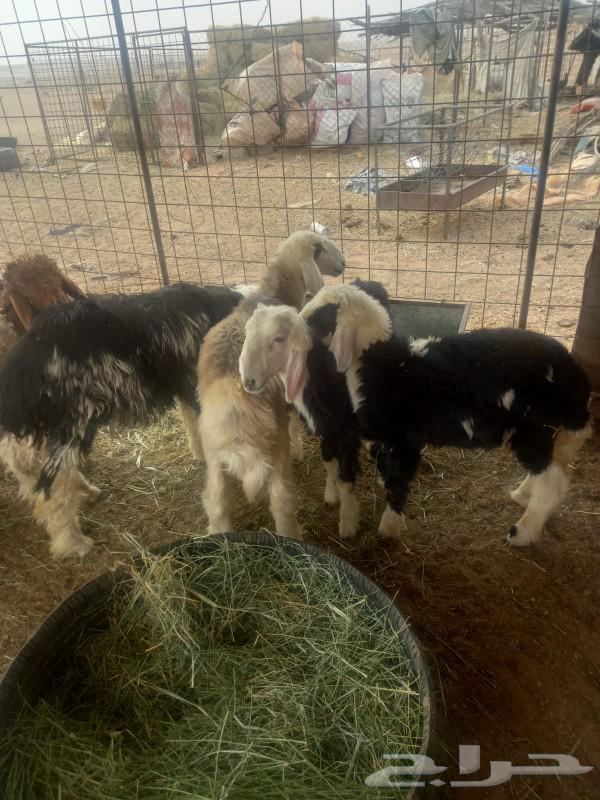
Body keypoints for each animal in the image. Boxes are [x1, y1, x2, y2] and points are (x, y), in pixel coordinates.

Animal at [0, 282, 244, 558]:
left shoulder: (188, 386)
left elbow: (194, 424)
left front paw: (201, 455)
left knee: (35, 469)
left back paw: (86, 492)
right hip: (72, 421)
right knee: (52, 487)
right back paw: (74, 543)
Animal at [196, 230, 346, 540]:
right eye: (321, 248)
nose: (343, 263)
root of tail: (236, 407)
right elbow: (295, 425)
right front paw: (301, 449)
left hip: (214, 456)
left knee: (216, 502)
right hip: (274, 450)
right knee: (282, 502)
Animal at [239, 280, 391, 541]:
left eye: (279, 338)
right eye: (247, 333)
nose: (249, 381)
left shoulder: (346, 431)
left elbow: (346, 478)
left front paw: (348, 523)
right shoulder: (324, 425)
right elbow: (329, 460)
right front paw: (331, 494)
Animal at [301, 284, 592, 546]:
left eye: (321, 315)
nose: (299, 319)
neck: (383, 363)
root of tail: (574, 374)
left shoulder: (401, 439)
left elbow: (398, 481)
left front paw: (388, 528)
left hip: (533, 427)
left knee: (552, 482)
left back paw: (522, 533)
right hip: (543, 430)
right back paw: (522, 494)